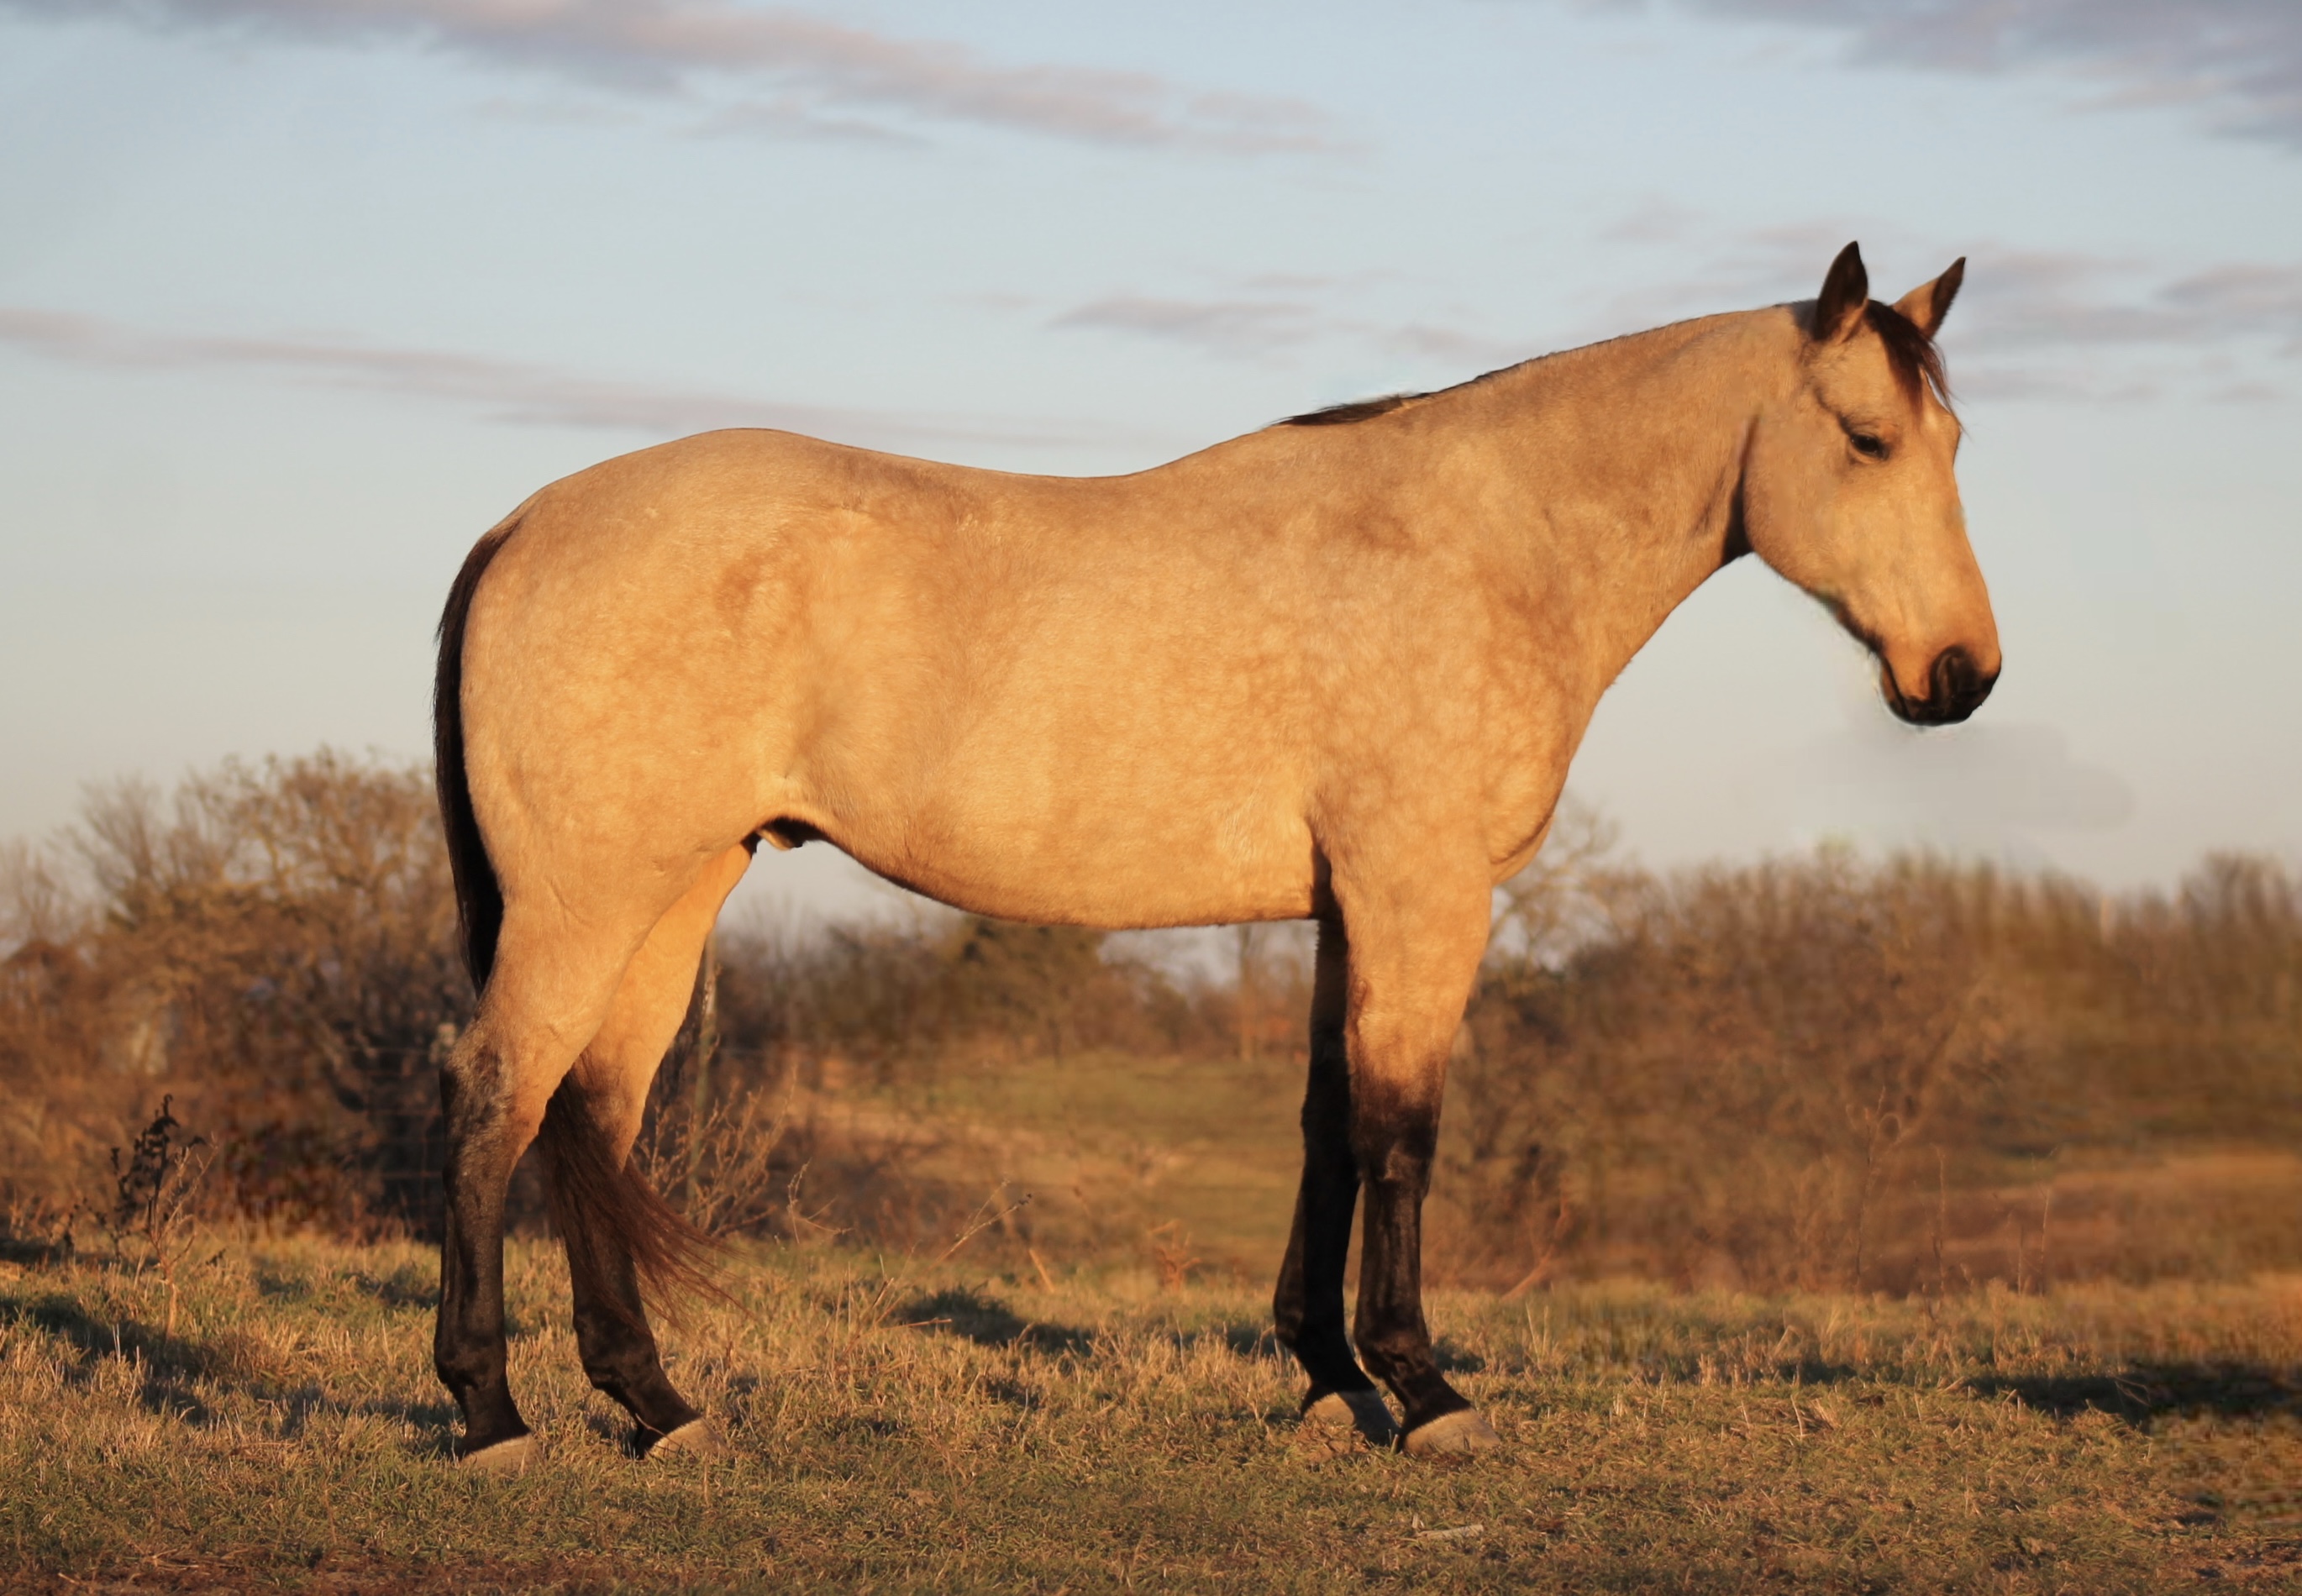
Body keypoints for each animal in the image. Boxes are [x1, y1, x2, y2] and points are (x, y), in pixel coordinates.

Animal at [429, 241, 1997, 1469]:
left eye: (1955, 445)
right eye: (1867, 439)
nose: (1962, 676)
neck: (1485, 545)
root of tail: (522, 523)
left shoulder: (1344, 909)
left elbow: (1328, 1125)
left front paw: (1329, 1381)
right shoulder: (1424, 895)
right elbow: (1404, 1130)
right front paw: (1425, 1391)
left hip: (675, 889)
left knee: (589, 1113)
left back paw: (657, 1407)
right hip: (587, 899)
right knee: (499, 1091)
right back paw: (492, 1415)